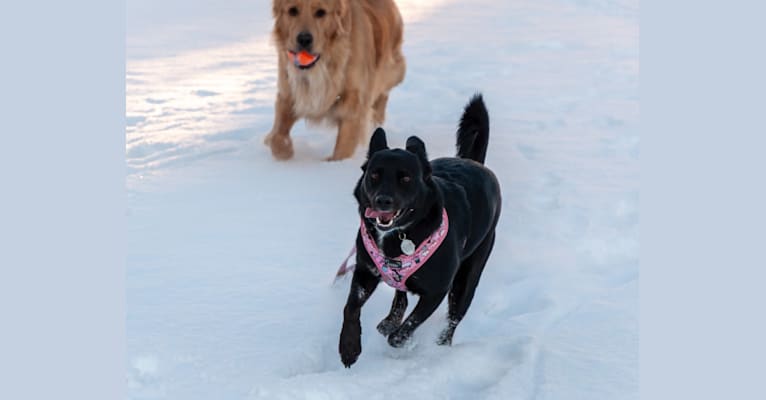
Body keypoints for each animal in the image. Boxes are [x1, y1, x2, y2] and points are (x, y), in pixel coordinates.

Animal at [266, 1, 408, 161]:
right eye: (292, 11)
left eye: (321, 12)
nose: (304, 39)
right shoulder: (288, 93)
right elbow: (278, 134)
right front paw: (283, 149)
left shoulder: (354, 101)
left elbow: (344, 146)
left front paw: (335, 163)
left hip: (392, 70)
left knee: (382, 94)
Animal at [342, 95, 504, 368]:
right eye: (374, 175)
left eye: (406, 179)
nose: (382, 201)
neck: (400, 235)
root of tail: (475, 163)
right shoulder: (365, 271)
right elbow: (351, 308)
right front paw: (349, 348)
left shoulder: (436, 291)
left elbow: (407, 328)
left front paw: (401, 343)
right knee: (401, 295)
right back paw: (388, 322)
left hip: (468, 277)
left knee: (453, 318)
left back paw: (440, 347)